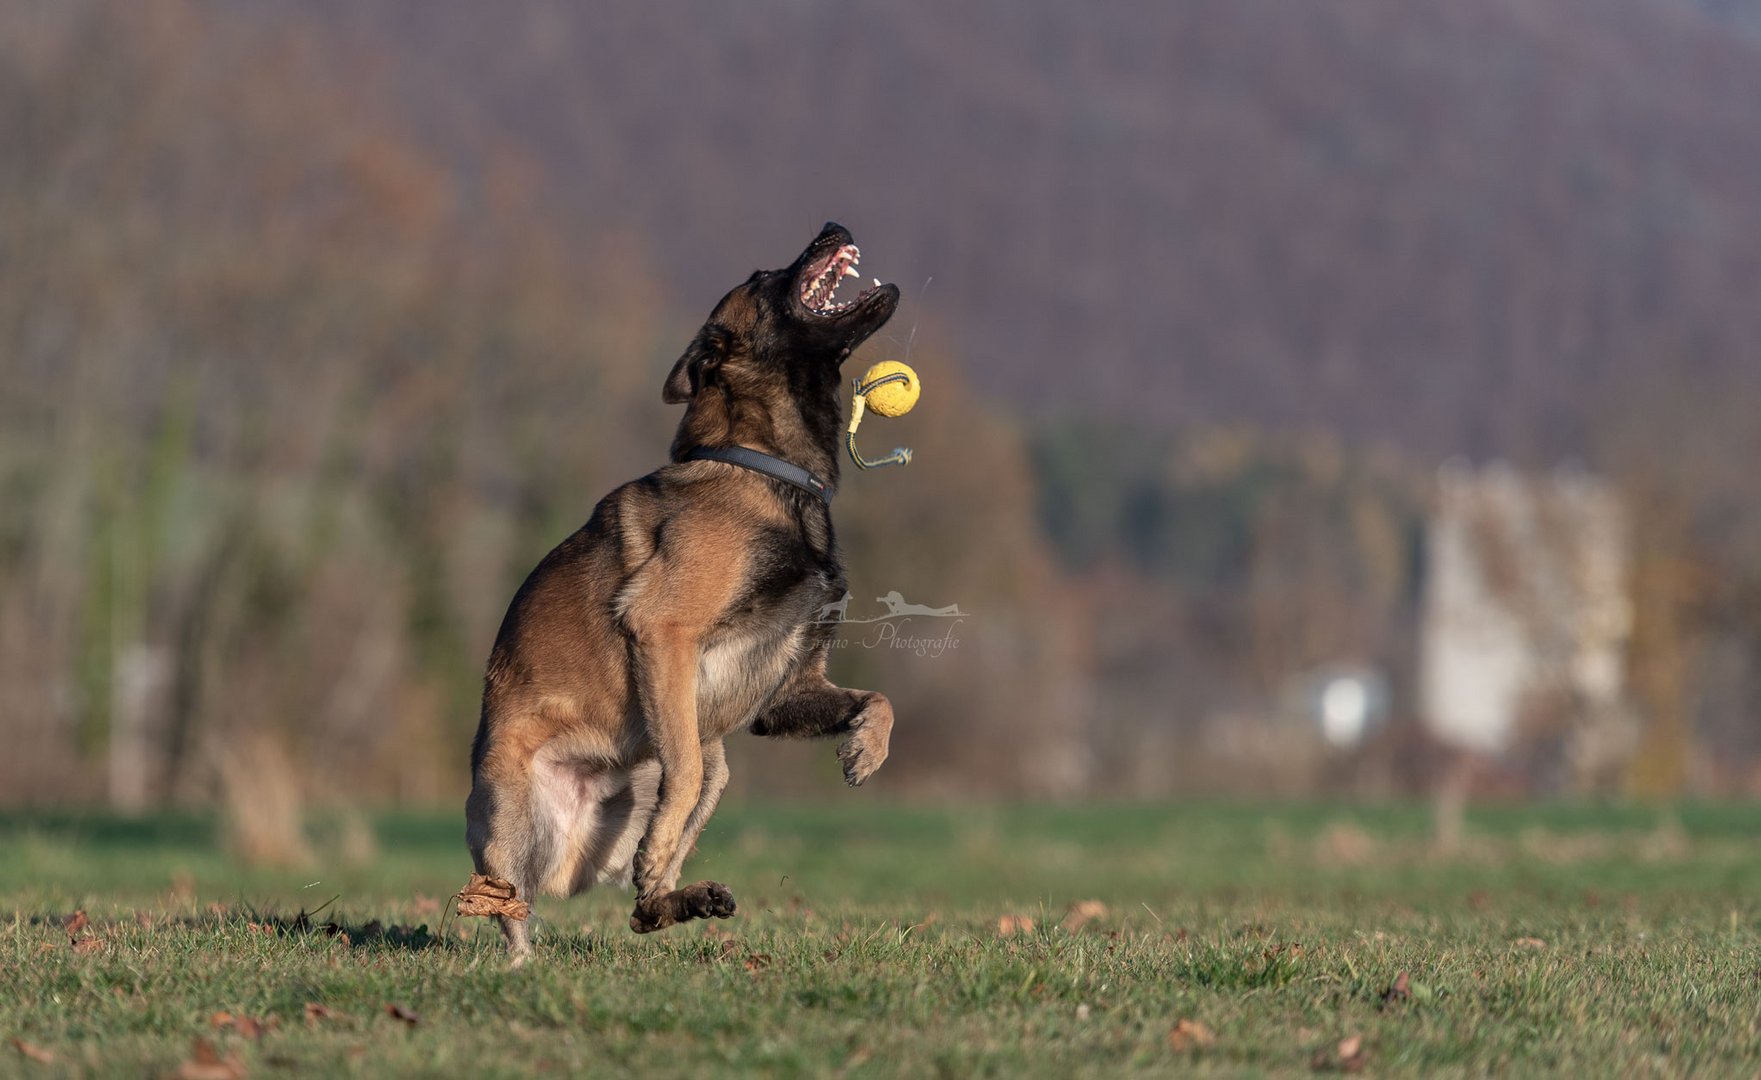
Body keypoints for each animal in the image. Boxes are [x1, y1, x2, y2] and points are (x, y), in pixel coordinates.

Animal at [464, 222, 901, 958]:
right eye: (760, 276)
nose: (833, 227)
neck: (765, 469)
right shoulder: (662, 631)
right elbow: (684, 771)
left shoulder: (786, 691)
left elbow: (879, 699)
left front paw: (866, 750)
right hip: (509, 812)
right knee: (512, 904)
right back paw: (525, 961)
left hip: (713, 754)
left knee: (649, 886)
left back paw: (676, 899)